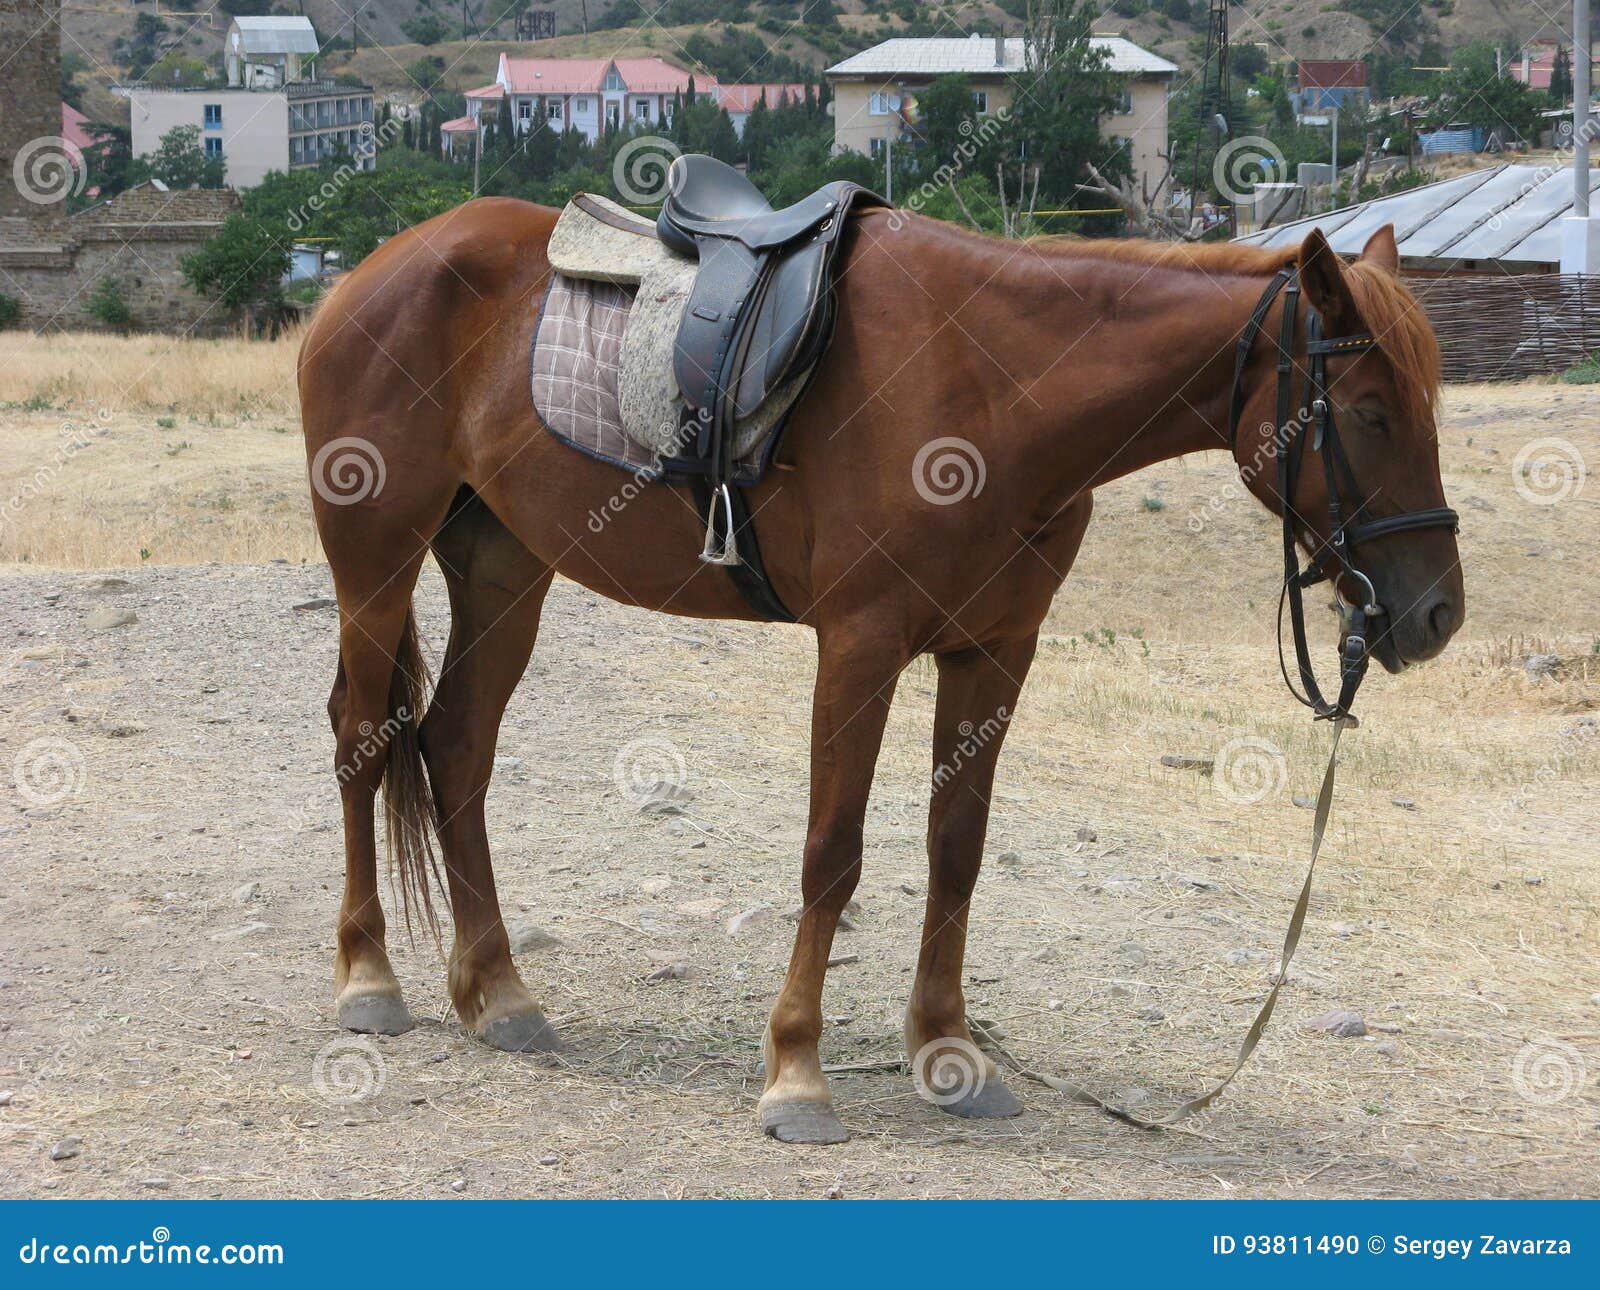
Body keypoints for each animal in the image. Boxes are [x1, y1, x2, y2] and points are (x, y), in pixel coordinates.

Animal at [297, 199, 1464, 1144]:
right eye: (1368, 412)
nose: (1434, 612)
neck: (996, 390)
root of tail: (369, 272)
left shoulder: (993, 652)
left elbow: (957, 852)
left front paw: (949, 1053)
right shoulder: (858, 645)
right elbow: (834, 856)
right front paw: (797, 1074)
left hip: (504, 570)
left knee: (454, 749)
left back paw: (498, 993)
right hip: (376, 565)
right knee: (361, 738)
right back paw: (369, 977)